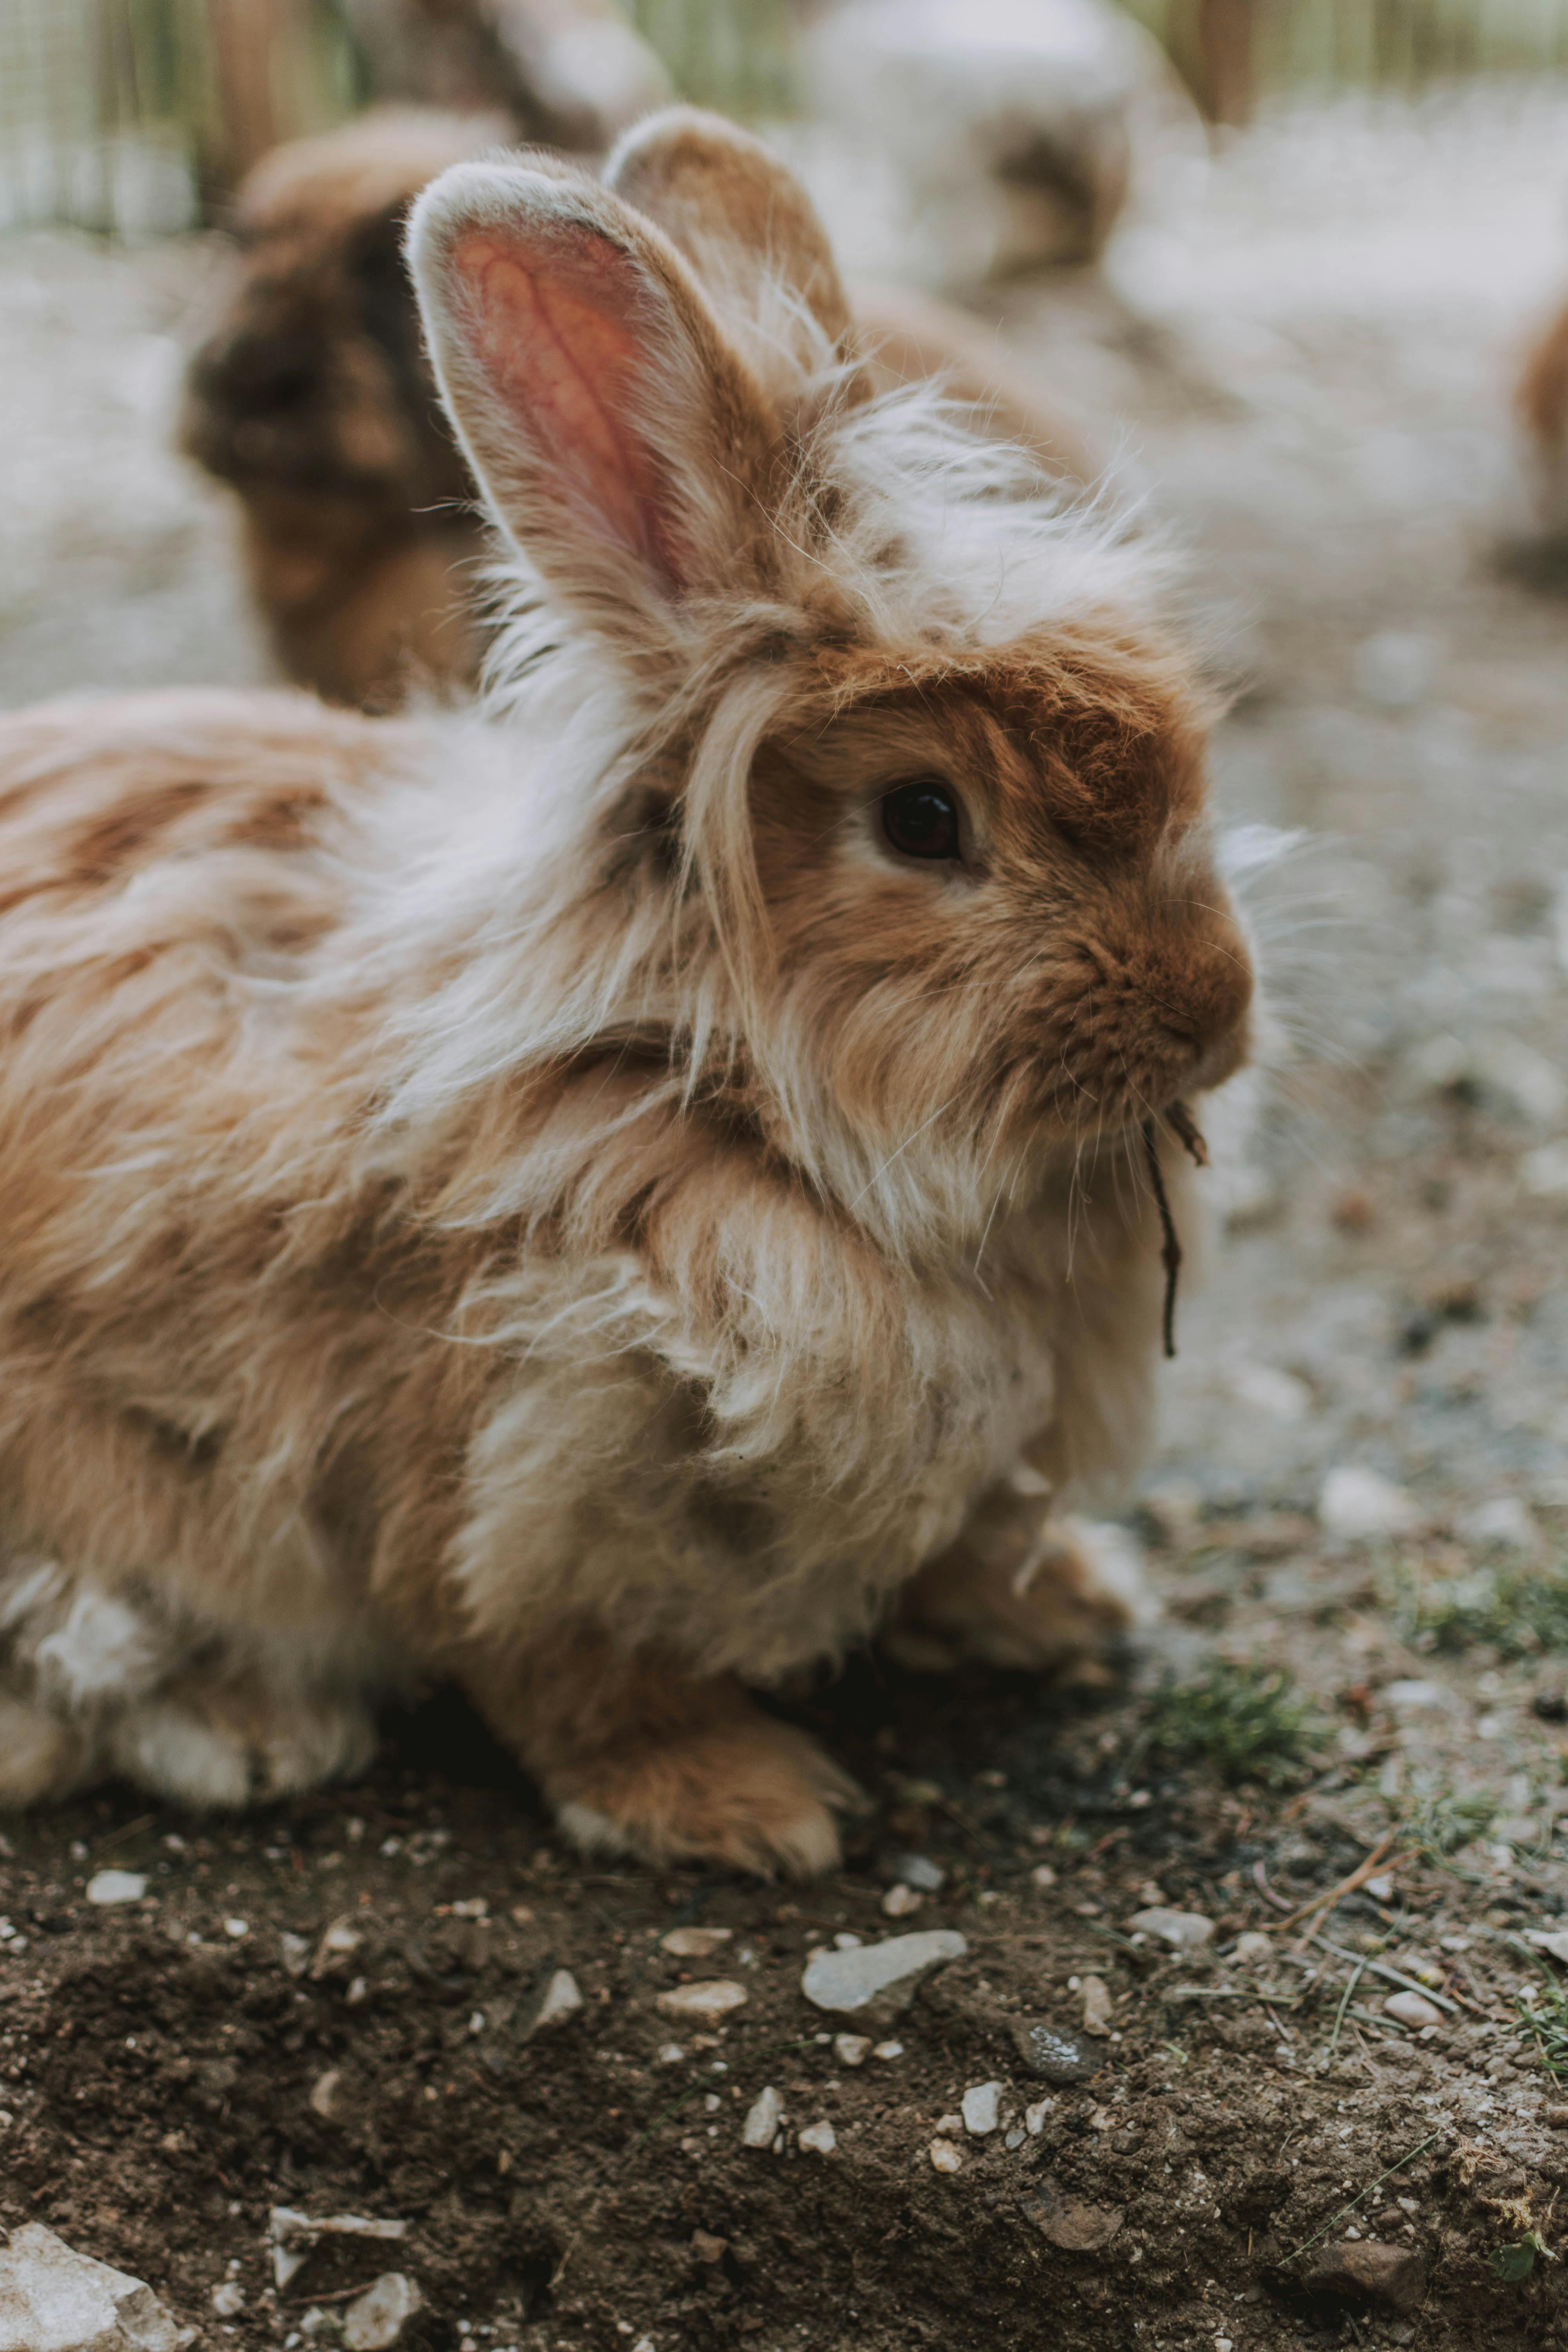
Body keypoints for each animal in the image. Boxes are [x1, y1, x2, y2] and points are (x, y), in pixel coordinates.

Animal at [0, 111, 1250, 1872]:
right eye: (922, 820)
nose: (1216, 1015)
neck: (701, 1085)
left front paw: (1061, 1609)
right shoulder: (481, 1466)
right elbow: (556, 1665)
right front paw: (740, 1805)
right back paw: (251, 1731)